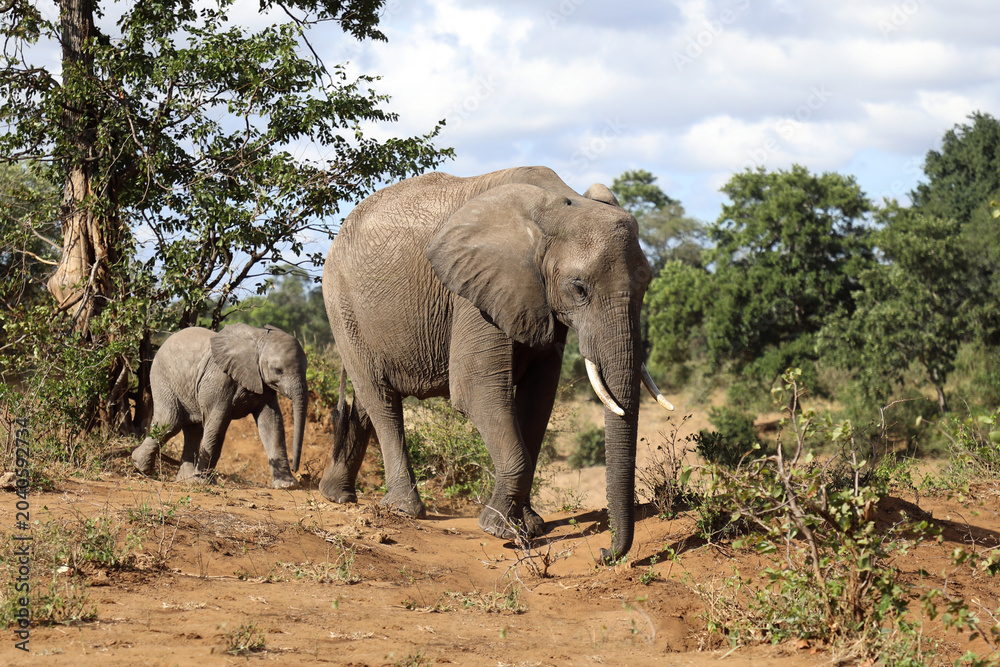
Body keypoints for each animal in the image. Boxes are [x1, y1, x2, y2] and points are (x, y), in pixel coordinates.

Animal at [131, 323, 308, 489]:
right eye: (278, 371)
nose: (296, 469)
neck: (258, 339)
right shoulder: (219, 379)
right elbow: (218, 422)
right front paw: (203, 482)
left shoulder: (263, 383)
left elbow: (271, 422)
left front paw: (287, 485)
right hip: (162, 378)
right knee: (170, 422)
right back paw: (141, 466)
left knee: (192, 429)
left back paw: (185, 479)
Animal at [318, 166, 673, 562]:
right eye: (578, 288)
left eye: (647, 285)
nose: (604, 554)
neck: (556, 205)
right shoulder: (474, 292)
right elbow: (477, 391)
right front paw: (499, 529)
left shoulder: (536, 298)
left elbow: (538, 399)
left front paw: (530, 524)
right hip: (341, 303)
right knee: (381, 399)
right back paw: (404, 509)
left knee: (366, 401)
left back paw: (337, 495)